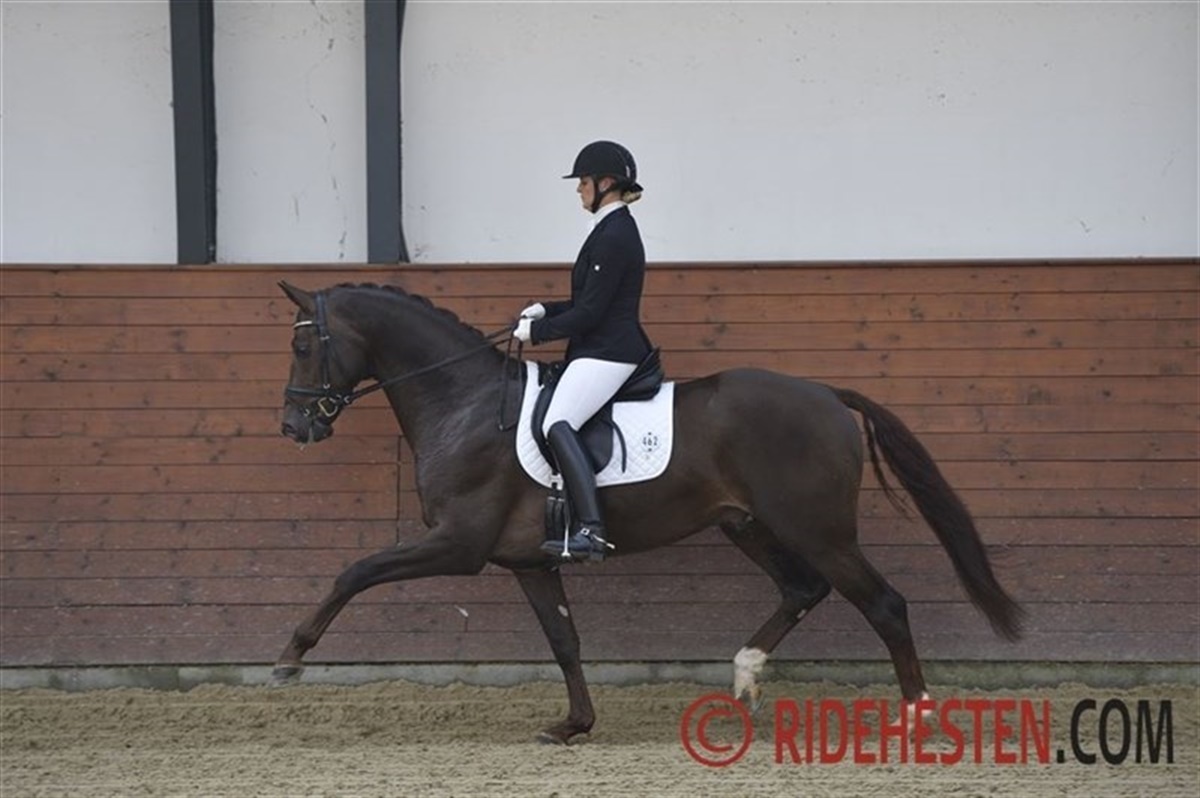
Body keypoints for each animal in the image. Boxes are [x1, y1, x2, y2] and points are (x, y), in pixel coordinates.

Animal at [272, 281, 1024, 744]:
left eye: (304, 344)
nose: (294, 426)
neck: (465, 402)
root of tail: (827, 395)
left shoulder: (459, 545)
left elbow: (354, 571)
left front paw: (290, 658)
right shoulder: (527, 562)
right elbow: (565, 640)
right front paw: (573, 726)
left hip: (818, 530)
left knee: (884, 604)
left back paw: (914, 718)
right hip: (749, 524)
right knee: (803, 589)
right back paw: (744, 675)